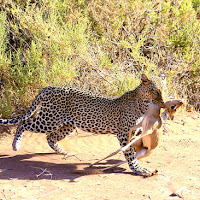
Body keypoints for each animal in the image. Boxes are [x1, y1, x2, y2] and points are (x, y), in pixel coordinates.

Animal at [0, 74, 163, 176]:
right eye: (155, 90)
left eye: (163, 88)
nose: (162, 101)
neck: (143, 105)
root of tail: (48, 87)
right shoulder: (124, 132)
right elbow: (129, 153)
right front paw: (138, 169)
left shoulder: (137, 132)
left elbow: (135, 148)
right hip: (49, 119)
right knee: (24, 123)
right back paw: (15, 145)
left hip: (68, 124)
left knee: (50, 137)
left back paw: (63, 152)